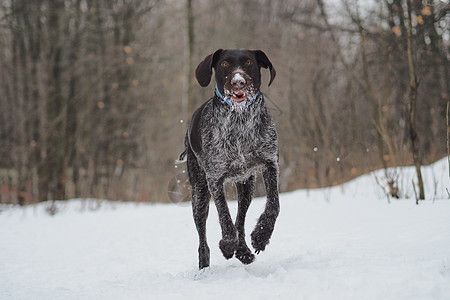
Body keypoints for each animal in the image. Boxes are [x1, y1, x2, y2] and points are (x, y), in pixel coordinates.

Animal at [185, 49, 280, 270]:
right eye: (225, 64)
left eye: (249, 63)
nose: (238, 82)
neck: (240, 121)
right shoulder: (214, 178)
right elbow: (224, 215)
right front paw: (228, 244)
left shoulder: (270, 163)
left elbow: (273, 205)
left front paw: (261, 236)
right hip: (199, 194)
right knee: (203, 239)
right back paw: (205, 266)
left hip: (246, 186)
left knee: (241, 219)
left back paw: (243, 250)